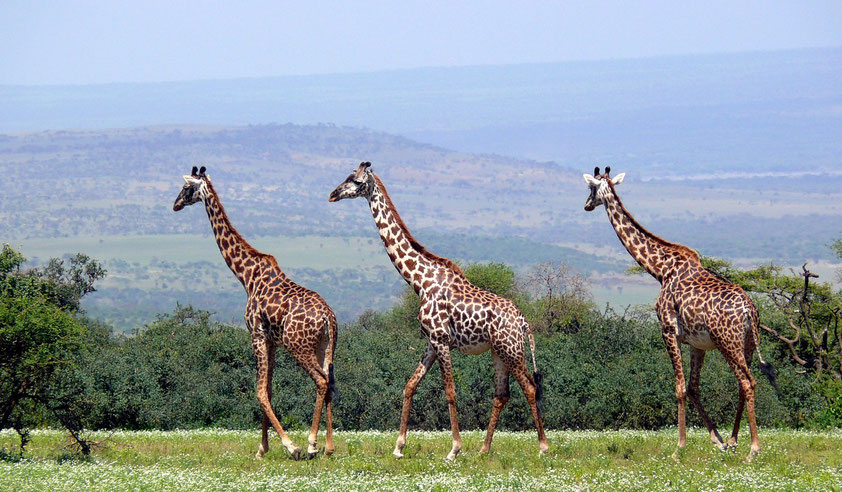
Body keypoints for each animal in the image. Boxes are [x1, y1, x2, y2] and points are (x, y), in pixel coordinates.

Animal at [172, 166, 336, 462]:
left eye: (186, 188)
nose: (175, 204)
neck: (246, 276)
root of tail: (330, 318)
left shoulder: (257, 334)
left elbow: (259, 392)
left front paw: (289, 446)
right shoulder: (271, 340)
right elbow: (268, 390)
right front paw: (262, 448)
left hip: (299, 345)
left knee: (319, 381)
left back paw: (310, 444)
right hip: (324, 346)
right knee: (329, 382)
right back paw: (328, 447)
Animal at [324, 162, 548, 462]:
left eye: (356, 180)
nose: (333, 194)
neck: (419, 281)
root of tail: (523, 321)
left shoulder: (442, 340)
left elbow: (450, 392)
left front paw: (454, 449)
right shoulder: (431, 342)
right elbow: (409, 386)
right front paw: (398, 447)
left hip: (511, 349)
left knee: (530, 387)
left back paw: (543, 447)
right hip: (498, 351)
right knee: (501, 394)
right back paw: (484, 449)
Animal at [580, 166, 772, 462]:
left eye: (590, 188)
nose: (587, 205)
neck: (660, 269)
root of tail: (750, 311)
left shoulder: (669, 330)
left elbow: (680, 388)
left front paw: (679, 447)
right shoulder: (697, 343)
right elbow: (693, 387)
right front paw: (717, 441)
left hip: (728, 343)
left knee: (748, 382)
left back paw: (753, 449)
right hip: (748, 344)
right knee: (744, 384)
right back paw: (733, 440)